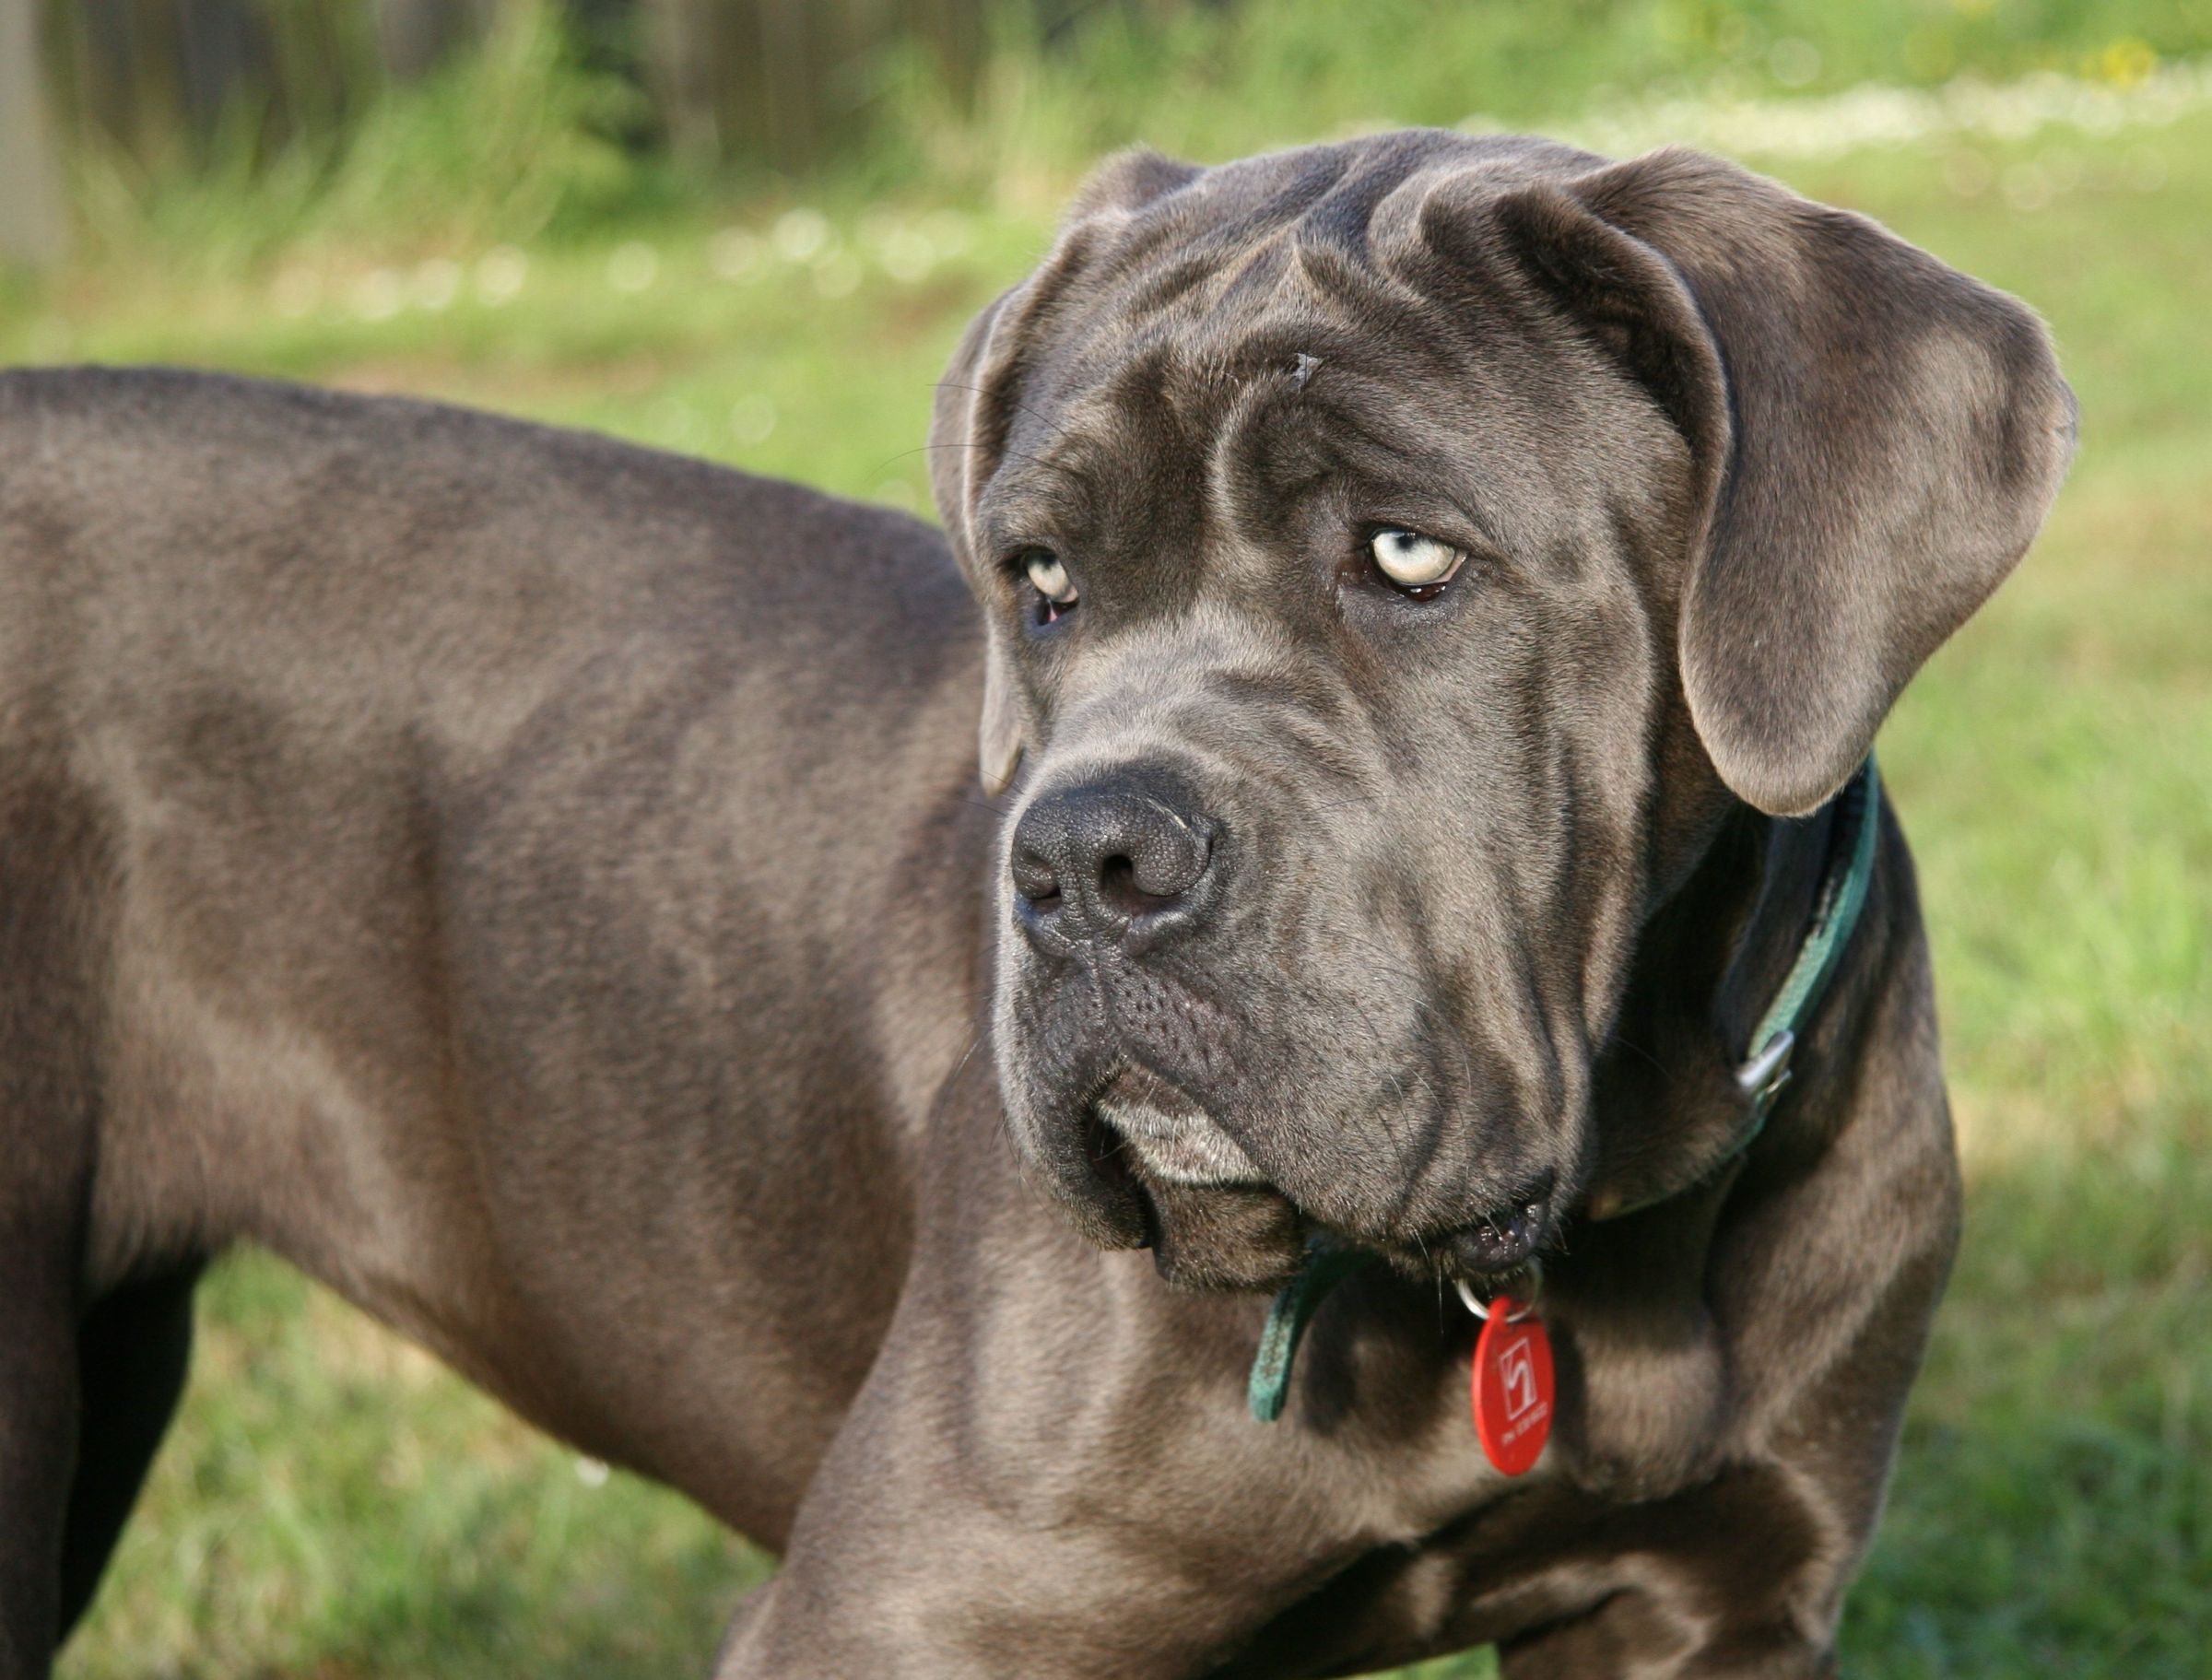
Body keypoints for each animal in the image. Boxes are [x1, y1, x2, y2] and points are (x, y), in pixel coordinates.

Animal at [0, 134, 2070, 1680]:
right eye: (1041, 581)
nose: (1086, 860)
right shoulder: (918, 1612)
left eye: (1411, 555)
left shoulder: (1711, 1601)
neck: (1576, 1240)